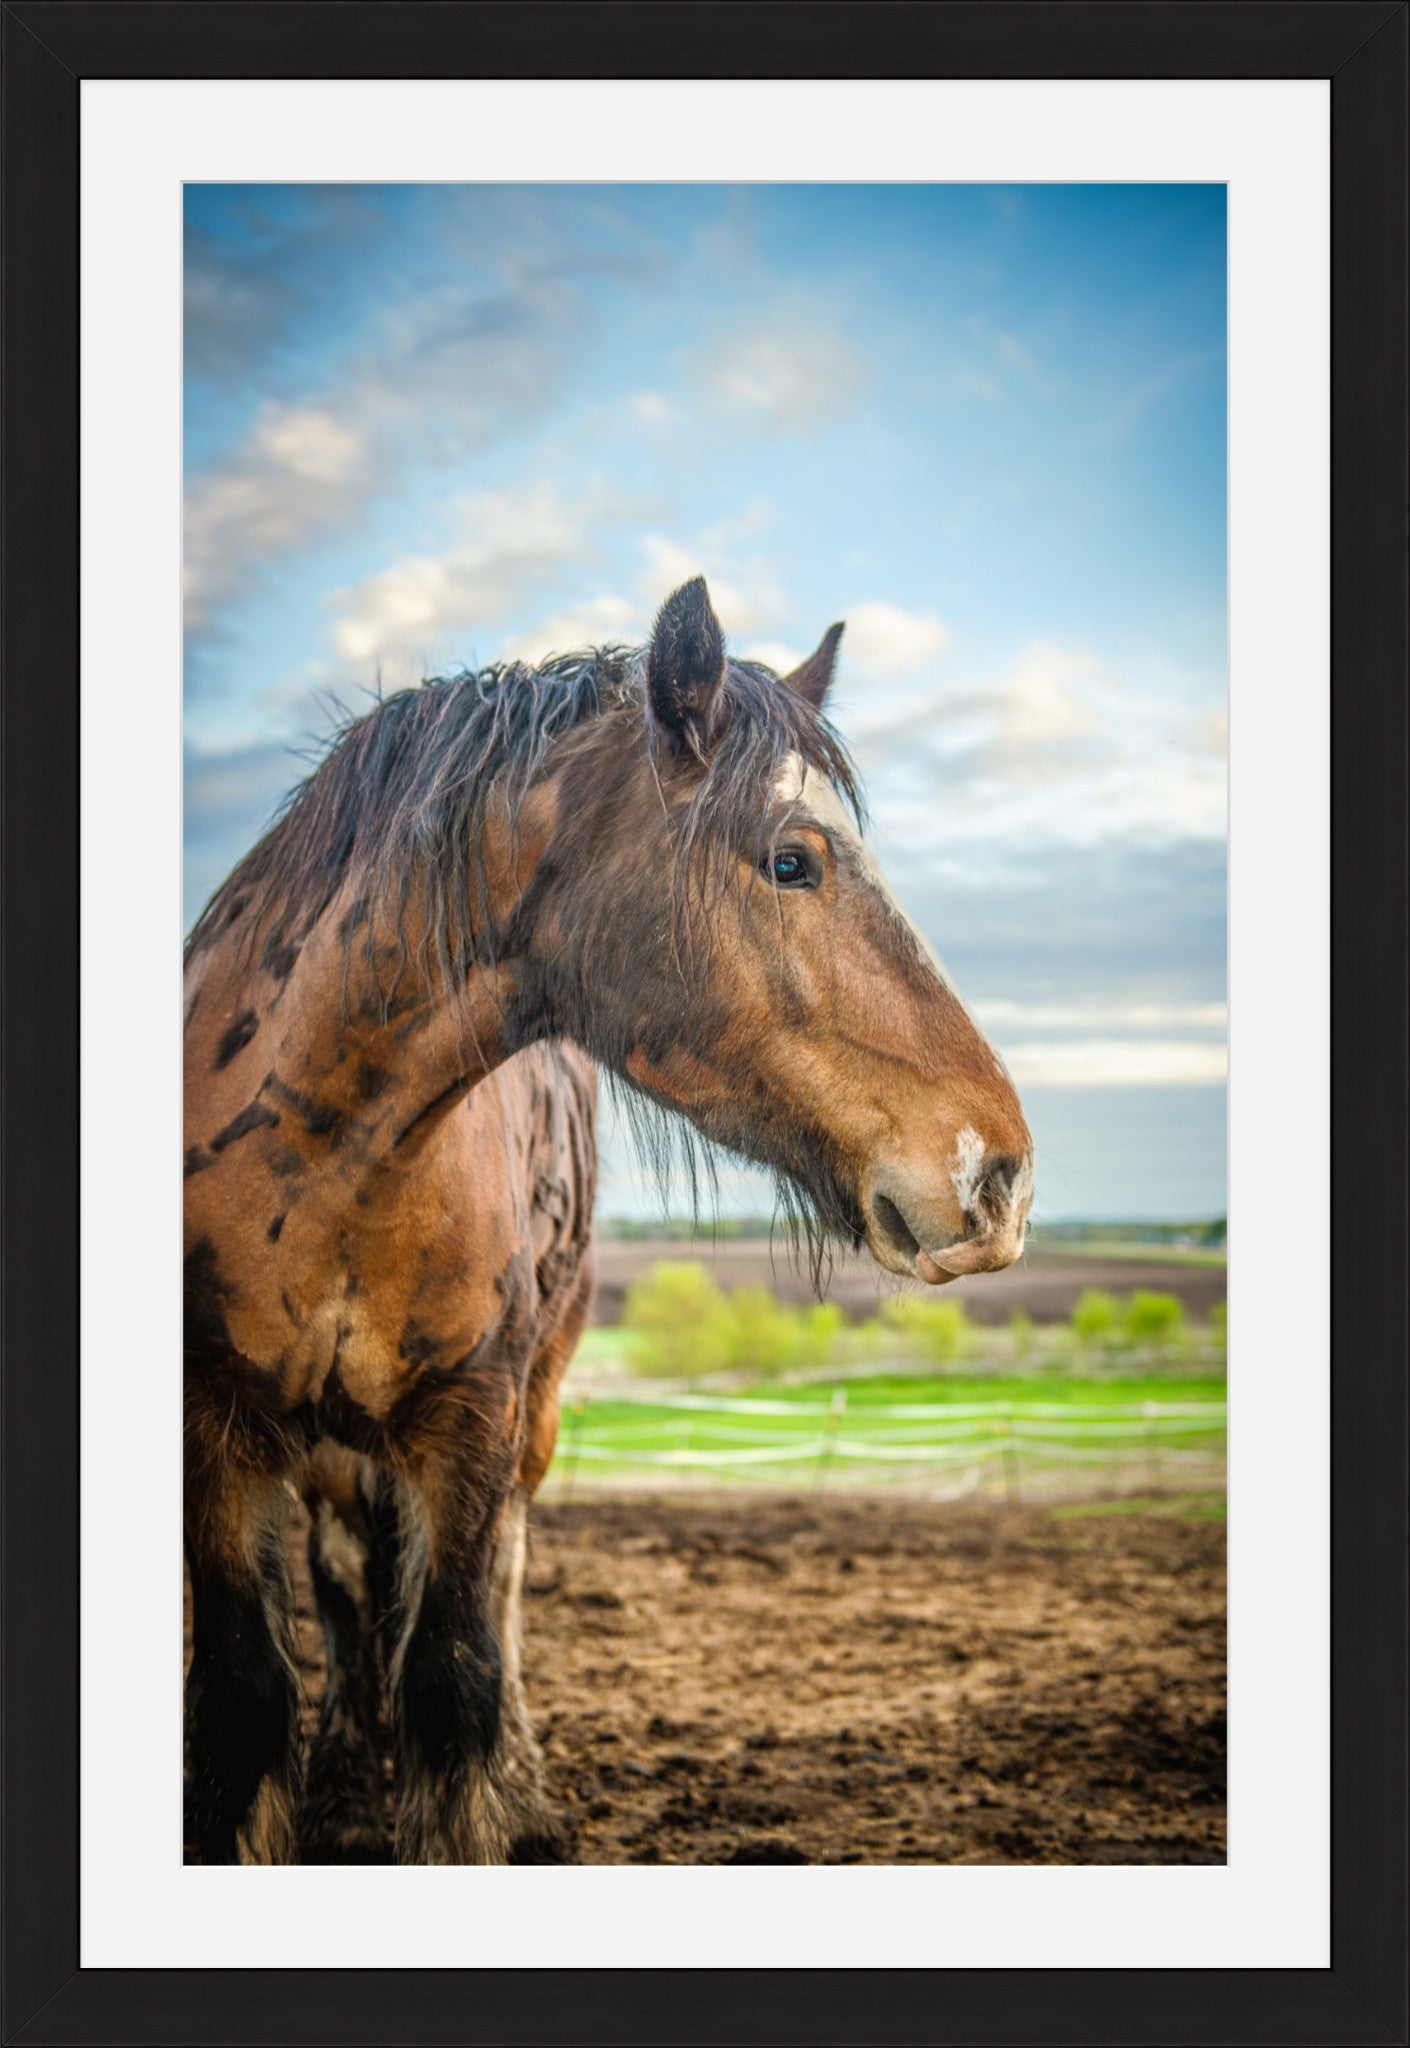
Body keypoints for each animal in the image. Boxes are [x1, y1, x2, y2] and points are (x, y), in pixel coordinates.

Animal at [181, 581, 1028, 1875]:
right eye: (793, 859)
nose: (1001, 1171)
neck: (323, 1155)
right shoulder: (216, 1435)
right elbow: (247, 1699)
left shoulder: (470, 1422)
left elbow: (456, 1678)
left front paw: (488, 1804)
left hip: (527, 1414)